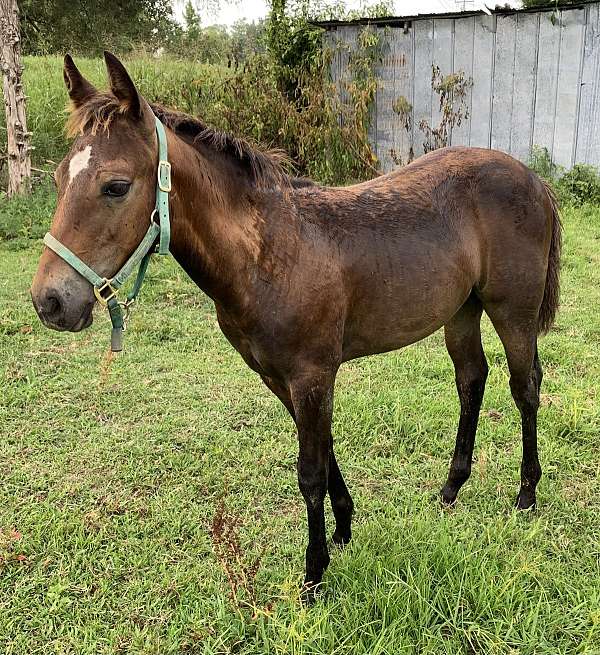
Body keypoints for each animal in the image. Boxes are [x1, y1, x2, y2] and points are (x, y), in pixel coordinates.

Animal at [30, 55, 560, 600]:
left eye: (115, 186)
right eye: (58, 179)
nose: (50, 301)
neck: (269, 253)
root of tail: (533, 180)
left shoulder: (311, 375)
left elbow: (309, 472)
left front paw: (314, 574)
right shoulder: (277, 376)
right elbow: (325, 452)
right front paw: (344, 528)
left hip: (512, 312)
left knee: (525, 387)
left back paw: (526, 494)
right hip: (461, 311)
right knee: (472, 380)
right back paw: (452, 487)